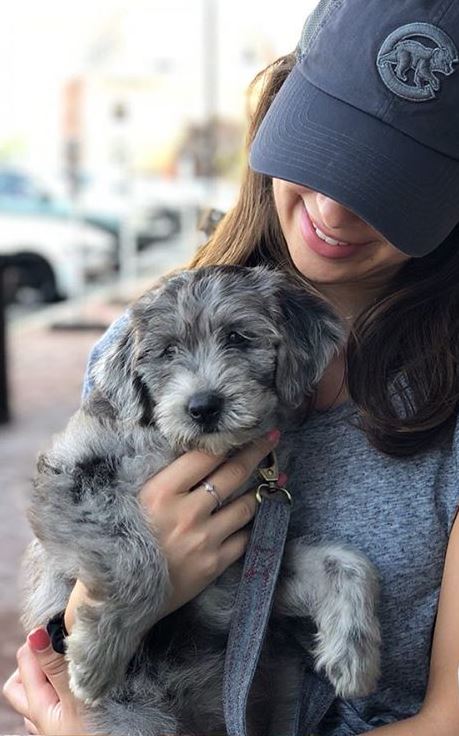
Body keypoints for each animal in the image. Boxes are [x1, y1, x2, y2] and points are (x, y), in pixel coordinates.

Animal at [20, 266, 380, 736]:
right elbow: (136, 558)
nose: (203, 406)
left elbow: (346, 562)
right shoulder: (72, 476)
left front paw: (353, 658)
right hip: (137, 717)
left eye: (238, 337)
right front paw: (96, 655)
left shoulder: (252, 563)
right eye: (167, 350)